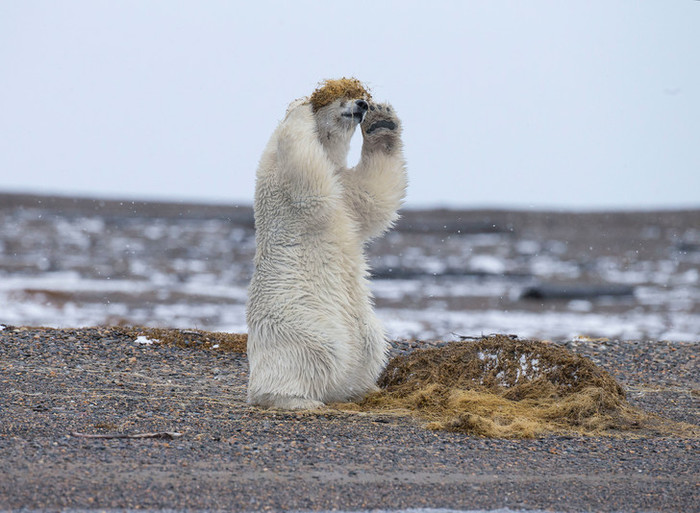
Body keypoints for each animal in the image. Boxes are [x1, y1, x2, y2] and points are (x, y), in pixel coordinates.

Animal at [247, 78, 408, 410]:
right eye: (340, 98)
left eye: (359, 97)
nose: (362, 104)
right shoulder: (279, 175)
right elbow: (309, 182)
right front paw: (301, 107)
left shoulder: (347, 188)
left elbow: (374, 197)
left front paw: (382, 121)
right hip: (299, 322)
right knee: (309, 352)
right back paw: (296, 400)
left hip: (365, 331)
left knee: (371, 346)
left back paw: (363, 389)